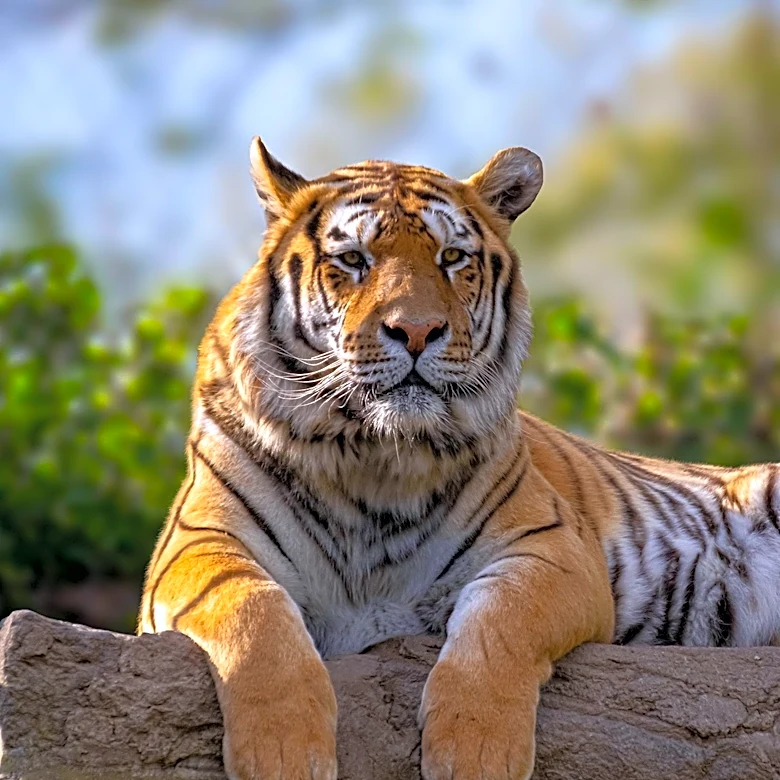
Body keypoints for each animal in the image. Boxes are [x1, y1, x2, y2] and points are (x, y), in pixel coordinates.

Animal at [139, 137, 780, 780]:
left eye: (451, 257)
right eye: (353, 260)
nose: (417, 331)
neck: (374, 455)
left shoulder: (552, 547)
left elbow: (499, 621)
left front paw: (475, 750)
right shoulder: (196, 541)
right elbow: (251, 610)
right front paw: (282, 752)